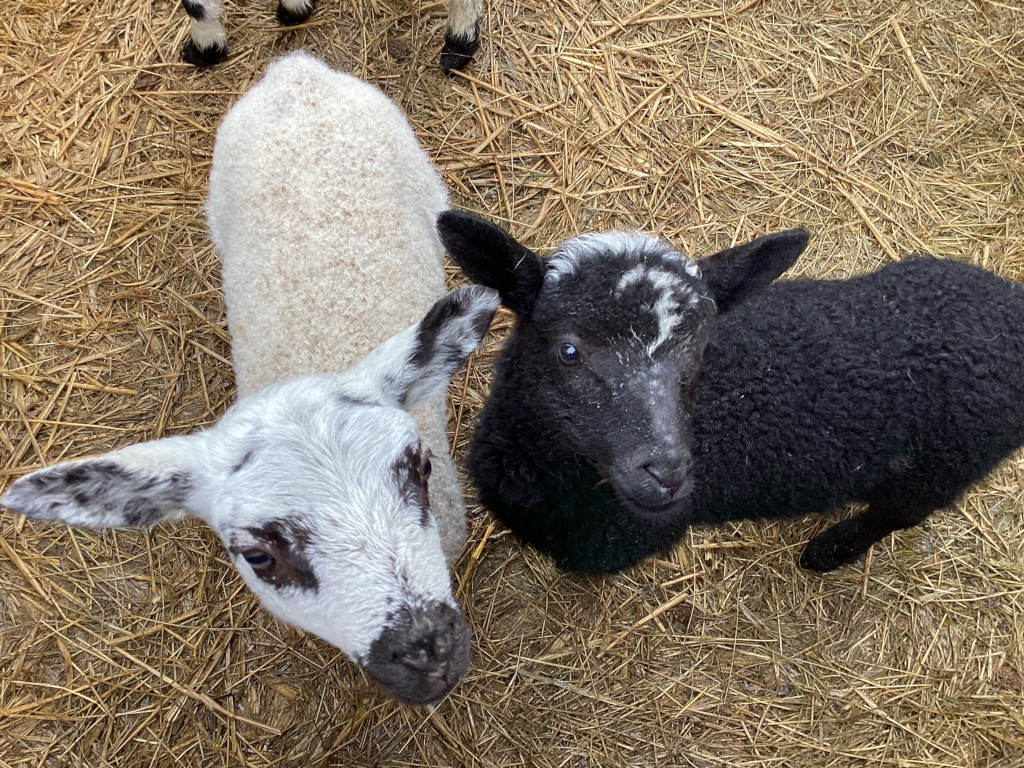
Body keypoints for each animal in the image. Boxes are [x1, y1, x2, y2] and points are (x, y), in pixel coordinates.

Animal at [436, 210, 1024, 575]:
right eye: (569, 350)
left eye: (700, 354)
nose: (668, 475)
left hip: (944, 467)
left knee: (897, 513)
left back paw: (828, 551)